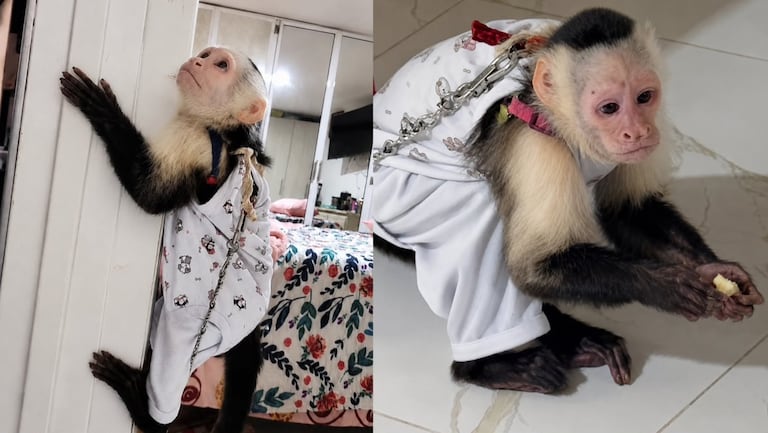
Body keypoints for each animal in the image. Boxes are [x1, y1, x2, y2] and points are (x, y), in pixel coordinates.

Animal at [59, 46, 274, 432]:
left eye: (220, 65)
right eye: (206, 54)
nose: (197, 61)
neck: (229, 136)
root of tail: (244, 330)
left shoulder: (195, 140)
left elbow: (150, 194)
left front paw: (102, 110)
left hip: (191, 329)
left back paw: (143, 407)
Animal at [372, 8, 764, 393]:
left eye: (644, 97)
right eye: (609, 107)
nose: (638, 132)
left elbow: (627, 211)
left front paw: (715, 269)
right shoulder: (533, 143)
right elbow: (536, 266)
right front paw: (668, 285)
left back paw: (573, 341)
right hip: (401, 196)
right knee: (477, 220)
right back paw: (489, 366)